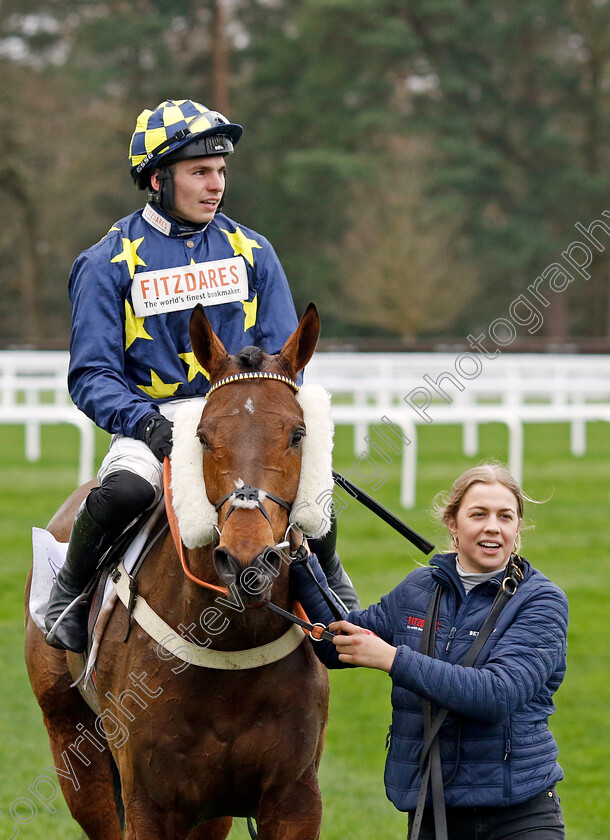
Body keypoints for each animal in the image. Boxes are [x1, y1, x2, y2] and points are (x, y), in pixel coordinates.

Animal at [23, 304, 330, 840]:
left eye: (298, 434)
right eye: (203, 437)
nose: (247, 560)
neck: (232, 646)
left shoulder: (294, 800)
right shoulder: (150, 803)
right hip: (72, 744)